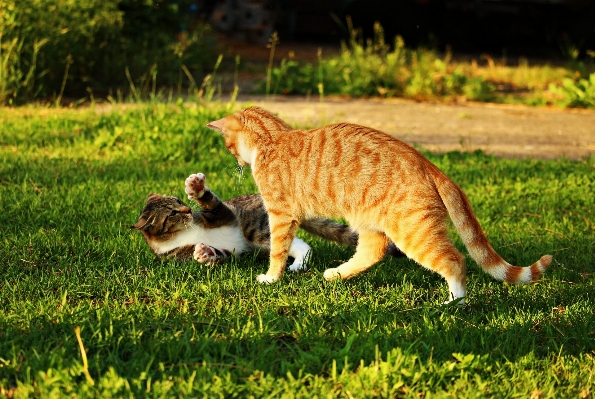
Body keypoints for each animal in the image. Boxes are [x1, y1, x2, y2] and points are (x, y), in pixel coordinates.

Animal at [132, 172, 406, 268]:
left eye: (179, 200)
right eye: (172, 213)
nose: (188, 210)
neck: (186, 233)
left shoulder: (221, 214)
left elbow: (213, 204)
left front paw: (197, 188)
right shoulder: (180, 255)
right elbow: (219, 255)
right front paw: (204, 253)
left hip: (257, 230)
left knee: (302, 245)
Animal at [206, 104, 556, 304]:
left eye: (227, 145)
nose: (237, 163)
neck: (272, 139)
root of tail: (427, 163)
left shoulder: (280, 215)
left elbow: (278, 251)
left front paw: (271, 278)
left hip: (412, 231)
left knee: (455, 260)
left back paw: (454, 302)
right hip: (369, 221)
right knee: (372, 253)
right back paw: (337, 274)